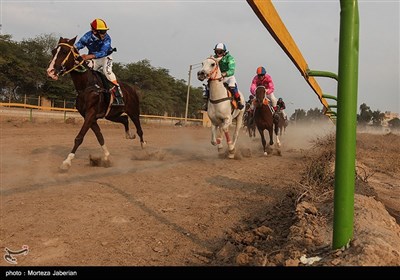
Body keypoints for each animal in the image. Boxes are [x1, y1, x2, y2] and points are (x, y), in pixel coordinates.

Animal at [46, 37, 146, 171]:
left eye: (64, 51)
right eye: (53, 51)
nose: (50, 71)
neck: (86, 86)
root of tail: (132, 90)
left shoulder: (91, 113)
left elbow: (79, 137)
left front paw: (67, 162)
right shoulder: (90, 116)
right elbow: (99, 136)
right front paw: (106, 157)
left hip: (133, 111)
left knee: (139, 129)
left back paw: (144, 147)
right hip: (111, 114)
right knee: (124, 119)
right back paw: (129, 135)